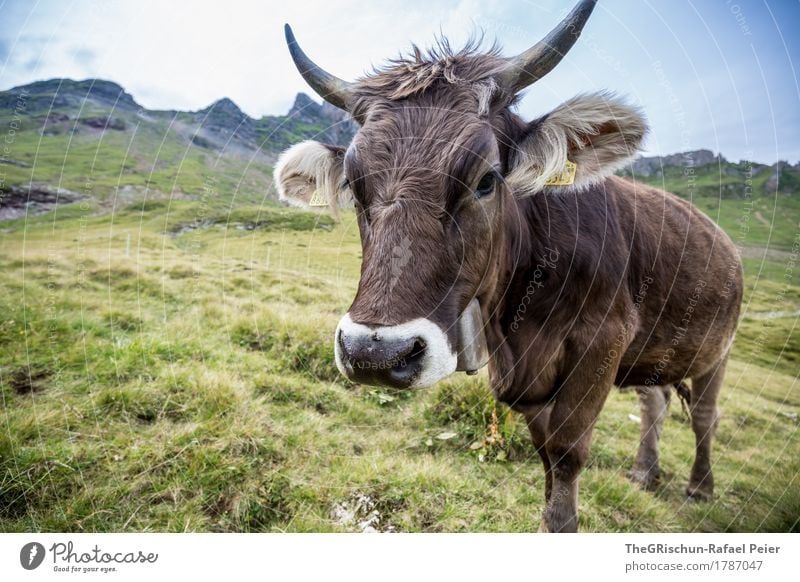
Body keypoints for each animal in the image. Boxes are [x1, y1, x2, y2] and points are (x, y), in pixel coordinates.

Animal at [276, 0, 744, 532]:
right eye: (354, 187)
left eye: (486, 179)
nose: (375, 353)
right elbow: (545, 453)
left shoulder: (604, 342)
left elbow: (565, 452)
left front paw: (560, 520)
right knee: (656, 401)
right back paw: (645, 473)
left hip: (718, 348)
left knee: (705, 414)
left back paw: (699, 486)